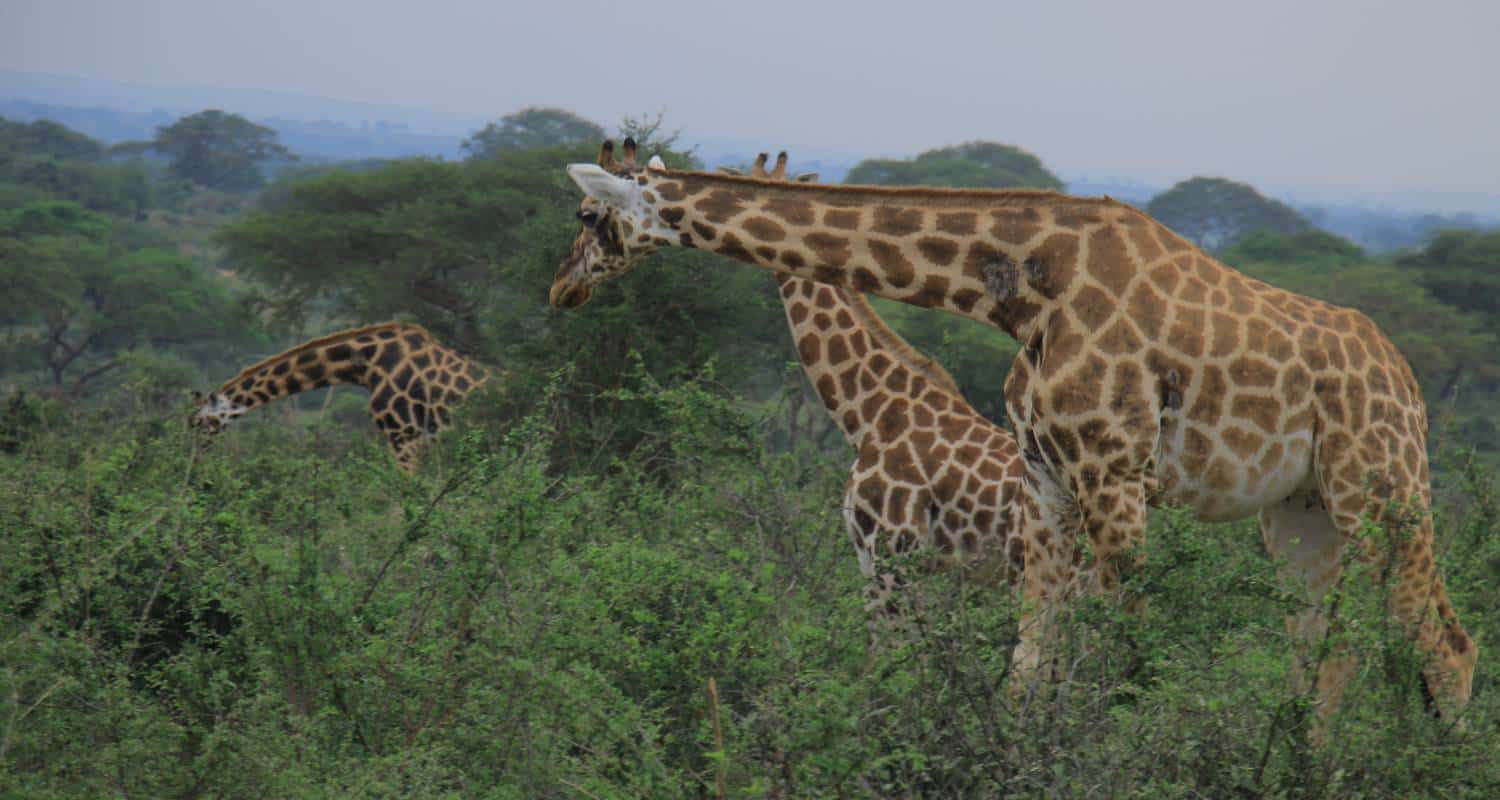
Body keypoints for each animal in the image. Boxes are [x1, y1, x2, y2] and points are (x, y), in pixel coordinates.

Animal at [548, 139, 1476, 719]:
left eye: (591, 218)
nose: (562, 288)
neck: (1024, 287)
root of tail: (1407, 380)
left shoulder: (1112, 475)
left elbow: (1126, 658)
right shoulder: (1049, 485)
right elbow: (1029, 674)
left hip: (1383, 492)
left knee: (1445, 645)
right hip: (1300, 513)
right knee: (1327, 650)